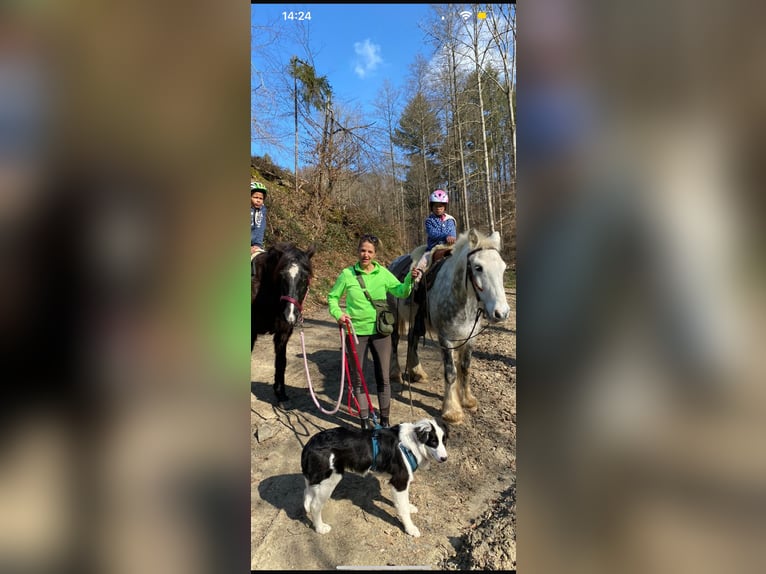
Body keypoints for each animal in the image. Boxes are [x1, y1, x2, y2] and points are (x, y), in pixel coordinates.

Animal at [254, 245, 316, 402]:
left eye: (305, 278)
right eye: (281, 276)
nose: (290, 315)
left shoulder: (283, 333)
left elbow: (281, 362)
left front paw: (280, 393)